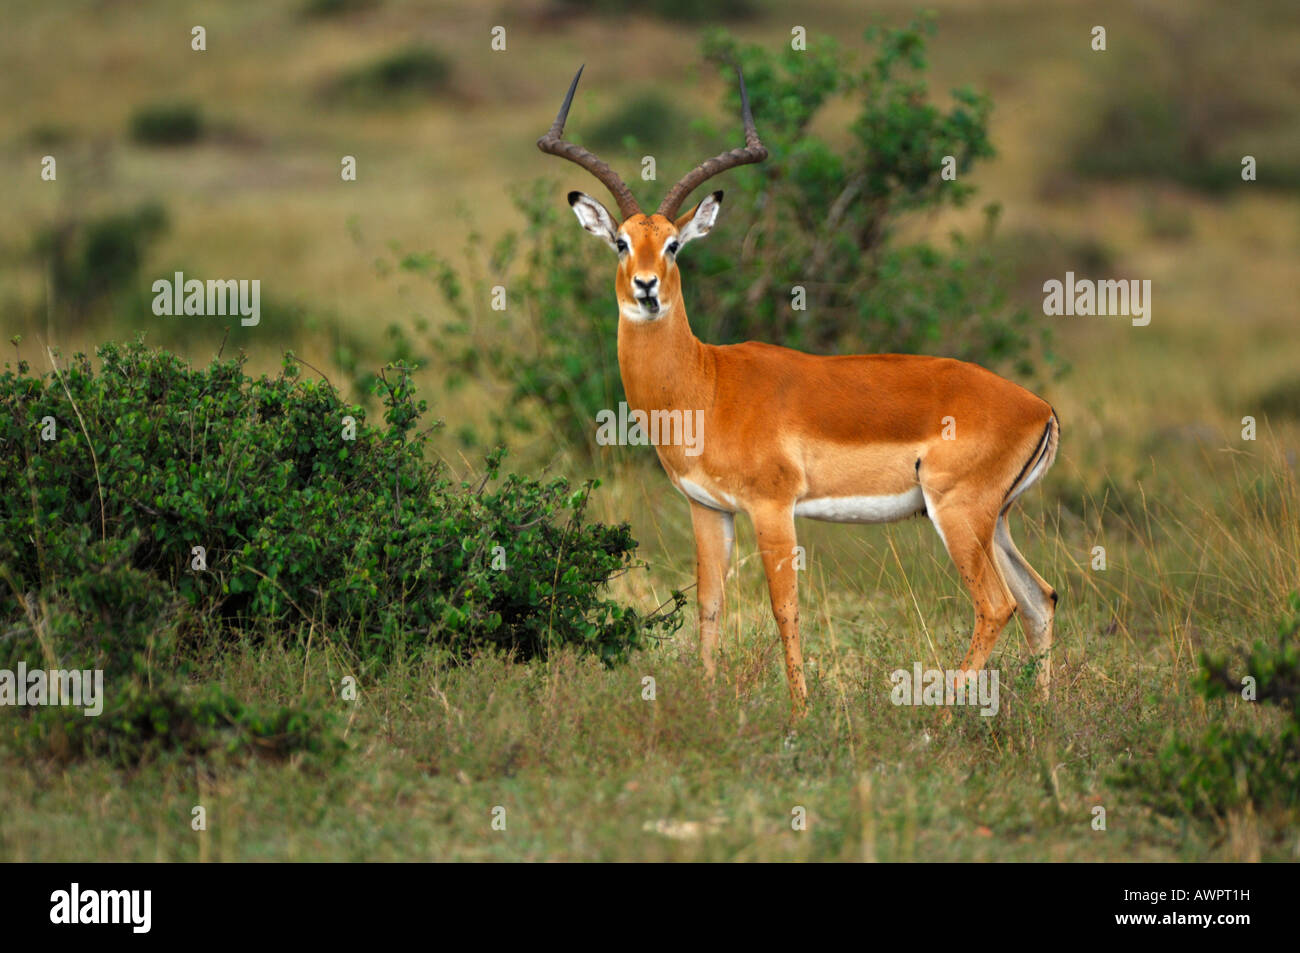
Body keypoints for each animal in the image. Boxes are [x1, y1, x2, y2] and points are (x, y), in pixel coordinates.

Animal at [538, 66, 1060, 718]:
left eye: (675, 244)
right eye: (621, 243)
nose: (647, 287)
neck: (707, 384)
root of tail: (1039, 407)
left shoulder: (773, 506)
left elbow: (783, 606)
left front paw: (801, 712)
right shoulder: (709, 509)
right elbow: (709, 605)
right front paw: (709, 704)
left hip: (959, 513)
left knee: (997, 605)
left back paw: (937, 719)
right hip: (1001, 519)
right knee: (1040, 599)